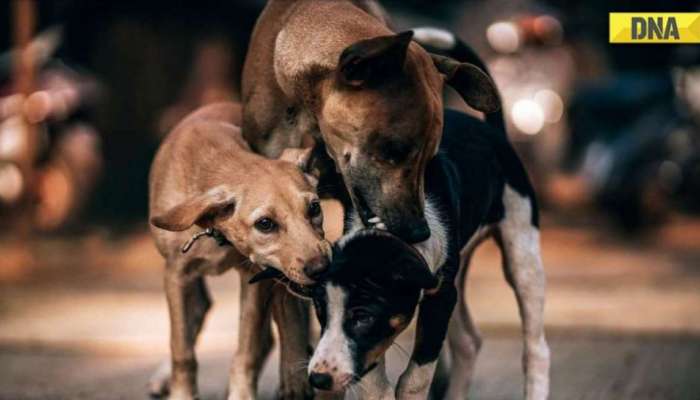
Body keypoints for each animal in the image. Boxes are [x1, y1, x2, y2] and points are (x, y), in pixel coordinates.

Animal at [147, 102, 328, 400]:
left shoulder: (254, 277)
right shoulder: (176, 274)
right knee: (197, 315)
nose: (322, 268)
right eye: (264, 224)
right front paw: (182, 393)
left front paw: (241, 393)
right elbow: (181, 348)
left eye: (314, 208)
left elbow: (248, 349)